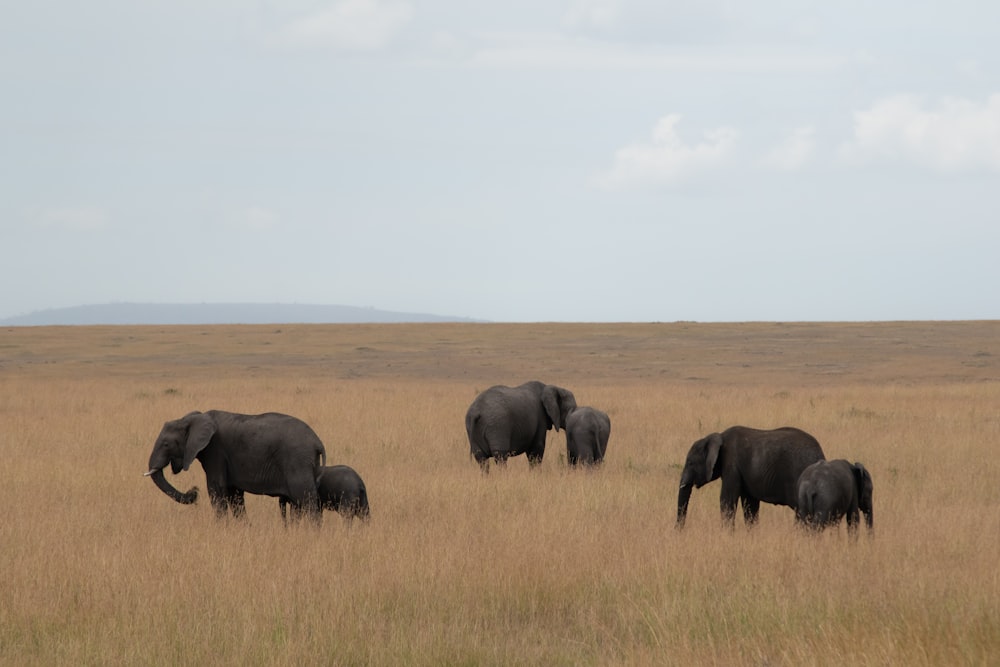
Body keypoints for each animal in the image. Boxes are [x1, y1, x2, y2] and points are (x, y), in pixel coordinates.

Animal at [145, 410, 326, 524]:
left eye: (166, 444)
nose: (194, 492)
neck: (194, 418)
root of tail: (317, 442)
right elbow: (235, 494)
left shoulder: (215, 451)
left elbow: (216, 489)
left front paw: (220, 528)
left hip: (298, 461)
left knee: (306, 499)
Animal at [672, 428, 828, 532]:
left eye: (690, 463)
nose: (678, 532)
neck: (718, 436)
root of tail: (821, 455)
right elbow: (750, 504)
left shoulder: (731, 465)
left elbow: (727, 501)